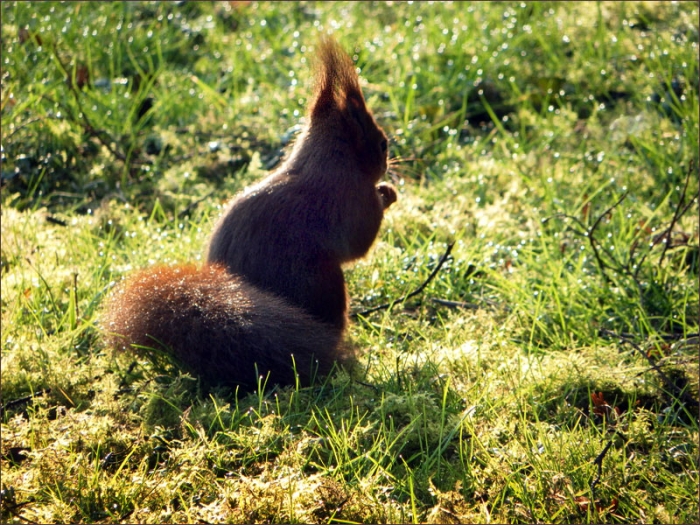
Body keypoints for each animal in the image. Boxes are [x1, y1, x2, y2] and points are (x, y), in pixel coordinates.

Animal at [102, 37, 397, 392]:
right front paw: (387, 194)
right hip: (325, 285)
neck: (324, 161)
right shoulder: (350, 200)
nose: (389, 164)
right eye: (381, 144)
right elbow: (360, 242)